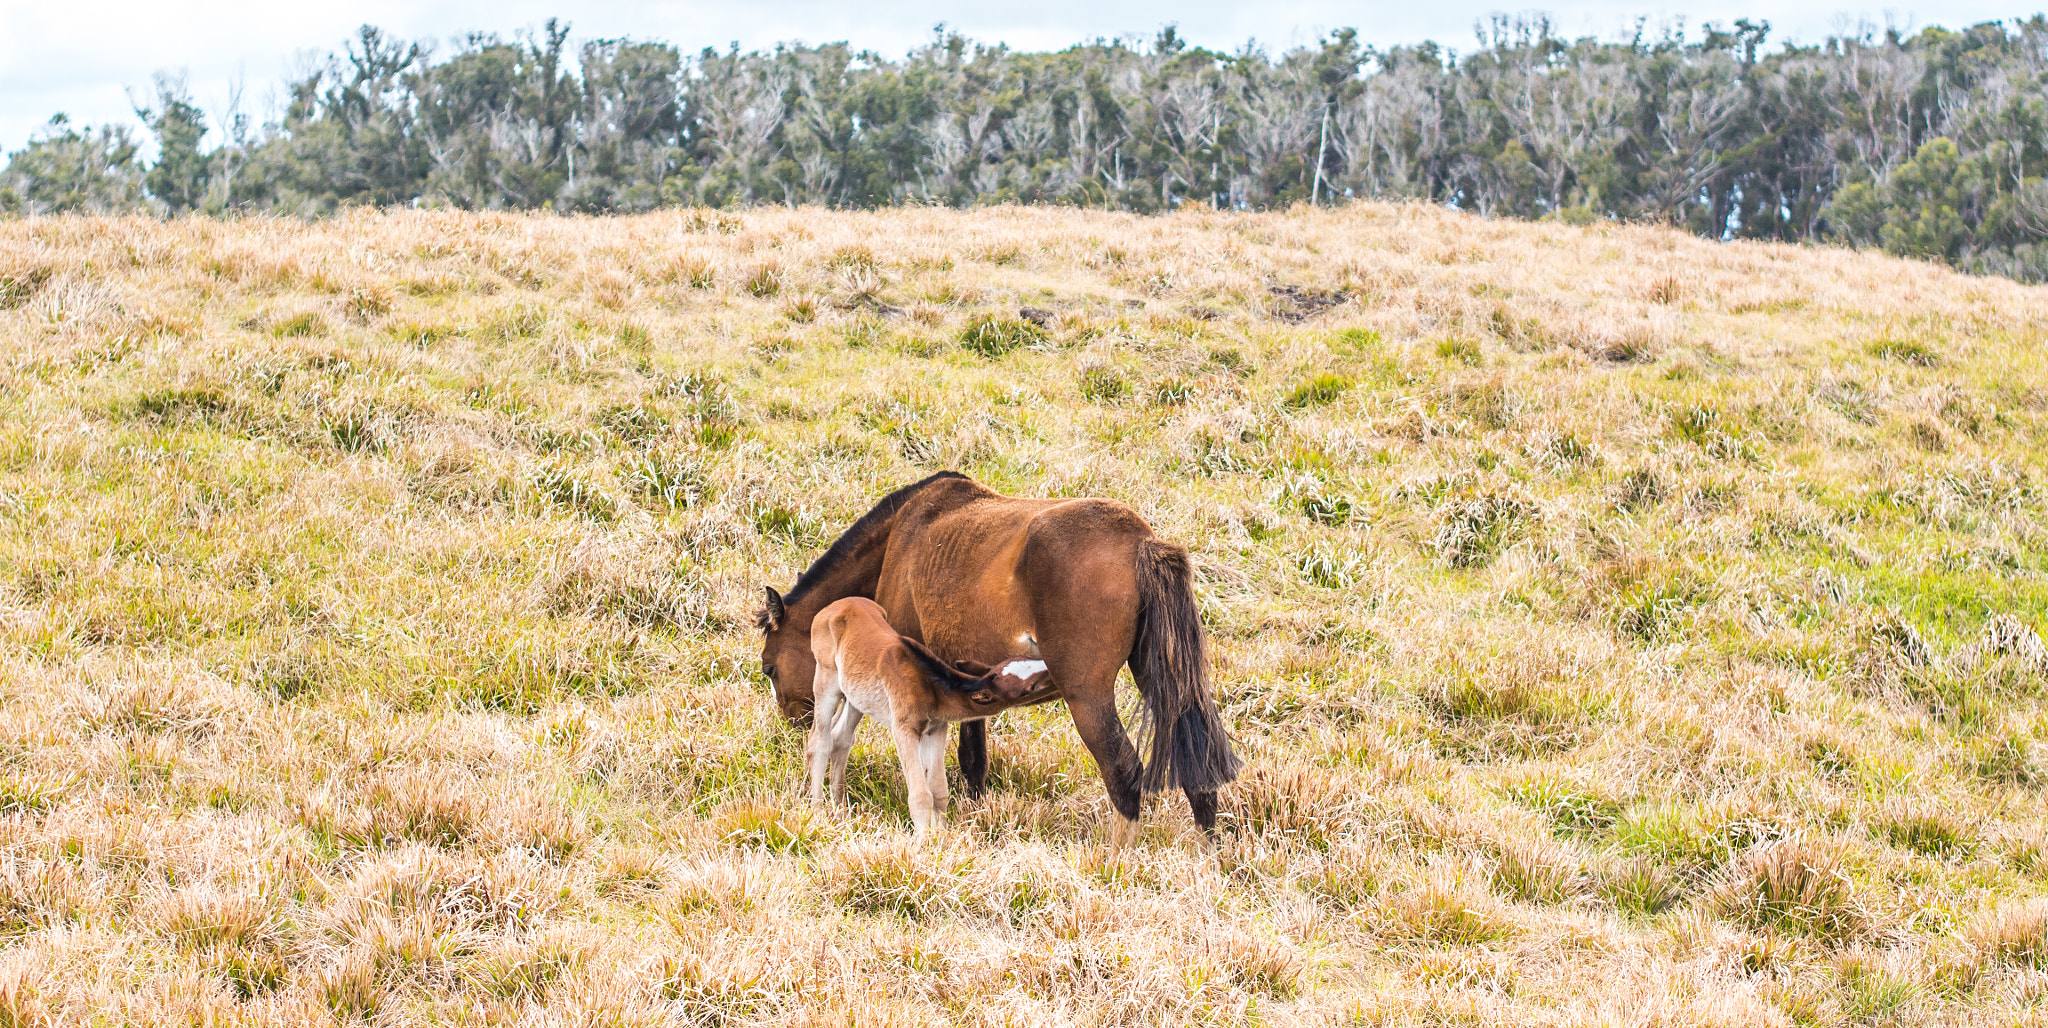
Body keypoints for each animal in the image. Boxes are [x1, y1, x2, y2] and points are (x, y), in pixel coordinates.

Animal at [753, 473, 1228, 843]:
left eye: (769, 668)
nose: (792, 722)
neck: (903, 535)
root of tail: (1141, 542)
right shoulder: (964, 679)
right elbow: (973, 757)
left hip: (1087, 697)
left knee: (1123, 772)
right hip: (1163, 680)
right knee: (1198, 761)